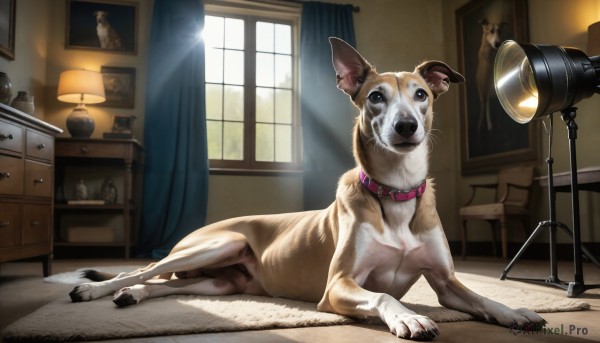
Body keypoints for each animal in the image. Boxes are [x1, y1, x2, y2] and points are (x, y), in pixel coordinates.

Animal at [70, 38, 544, 342]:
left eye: (422, 94)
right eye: (375, 96)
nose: (406, 126)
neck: (394, 191)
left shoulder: (446, 282)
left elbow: (482, 296)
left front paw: (518, 312)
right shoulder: (338, 285)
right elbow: (383, 293)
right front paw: (410, 318)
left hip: (220, 283)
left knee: (166, 286)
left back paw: (133, 296)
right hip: (214, 245)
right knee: (144, 269)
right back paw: (97, 290)